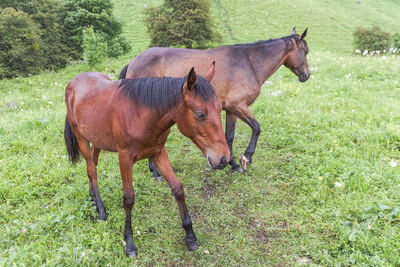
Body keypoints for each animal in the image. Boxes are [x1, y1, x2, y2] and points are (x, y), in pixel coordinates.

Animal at [64, 64, 230, 258]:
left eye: (219, 109)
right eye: (200, 114)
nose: (223, 158)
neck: (141, 114)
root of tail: (74, 82)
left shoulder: (159, 153)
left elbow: (177, 189)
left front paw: (190, 235)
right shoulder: (124, 158)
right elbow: (129, 198)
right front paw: (129, 243)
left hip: (97, 139)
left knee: (93, 163)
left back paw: (92, 195)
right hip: (81, 138)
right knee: (91, 168)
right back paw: (101, 209)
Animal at [120, 27, 310, 180]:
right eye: (306, 51)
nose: (306, 76)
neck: (249, 63)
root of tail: (133, 62)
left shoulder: (231, 110)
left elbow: (229, 136)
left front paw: (233, 164)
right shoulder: (238, 106)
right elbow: (256, 128)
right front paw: (246, 159)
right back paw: (156, 173)